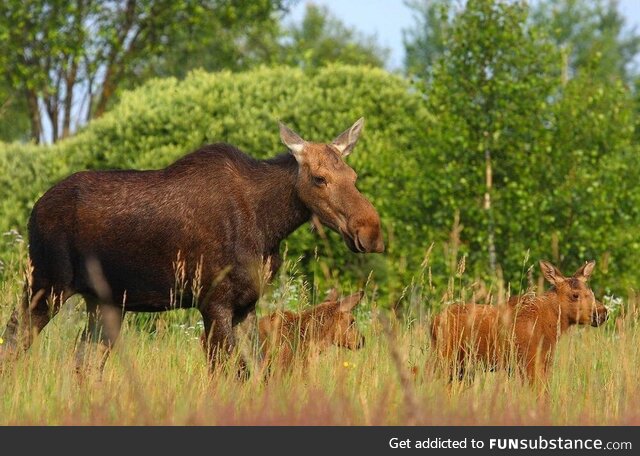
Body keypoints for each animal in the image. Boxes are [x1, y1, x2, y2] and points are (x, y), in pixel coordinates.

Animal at [0, 116, 380, 374]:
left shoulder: (246, 305)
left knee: (84, 364)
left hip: (103, 301)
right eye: (319, 178)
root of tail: (35, 209)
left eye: (354, 176)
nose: (370, 231)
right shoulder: (214, 302)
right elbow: (231, 372)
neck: (269, 226)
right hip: (46, 284)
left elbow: (257, 370)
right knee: (15, 340)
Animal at [432, 260, 608, 384]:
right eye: (575, 295)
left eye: (591, 291)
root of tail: (433, 320)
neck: (551, 324)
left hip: (461, 367)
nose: (602, 313)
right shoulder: (528, 362)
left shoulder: (544, 362)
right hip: (444, 357)